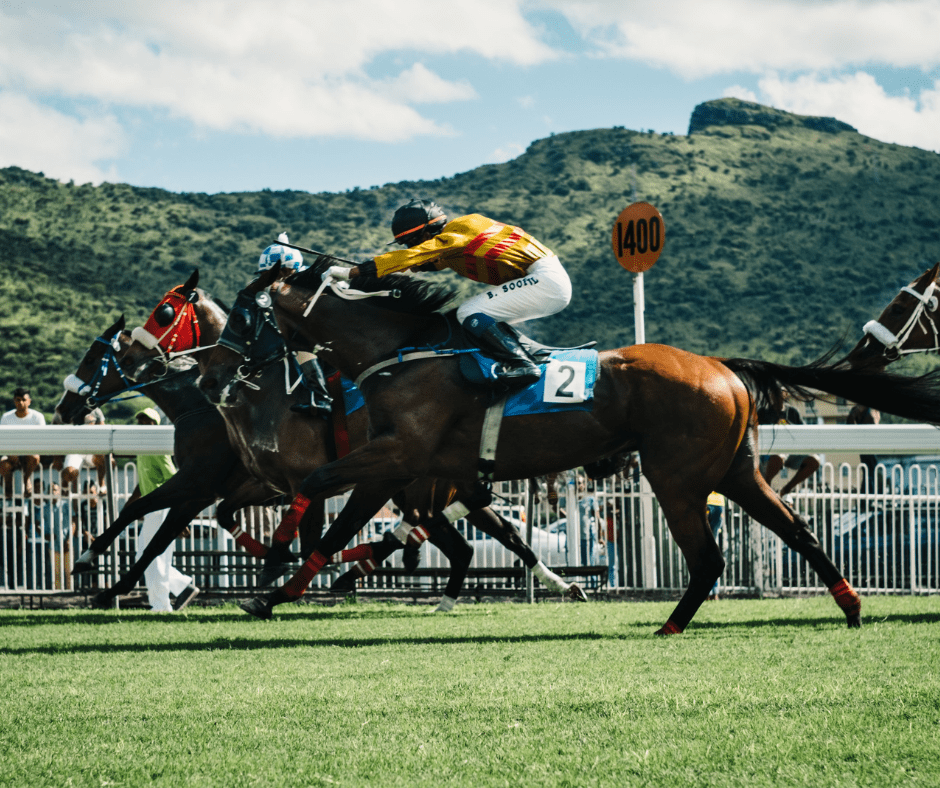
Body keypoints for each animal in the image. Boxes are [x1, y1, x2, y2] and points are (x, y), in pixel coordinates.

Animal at [198, 255, 940, 632]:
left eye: (244, 313)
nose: (220, 371)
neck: (403, 348)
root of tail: (724, 368)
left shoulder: (399, 458)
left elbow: (314, 492)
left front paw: (270, 567)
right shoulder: (399, 467)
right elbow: (336, 523)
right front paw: (275, 589)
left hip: (676, 476)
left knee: (709, 556)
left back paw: (672, 623)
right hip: (735, 471)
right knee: (797, 530)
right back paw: (849, 605)